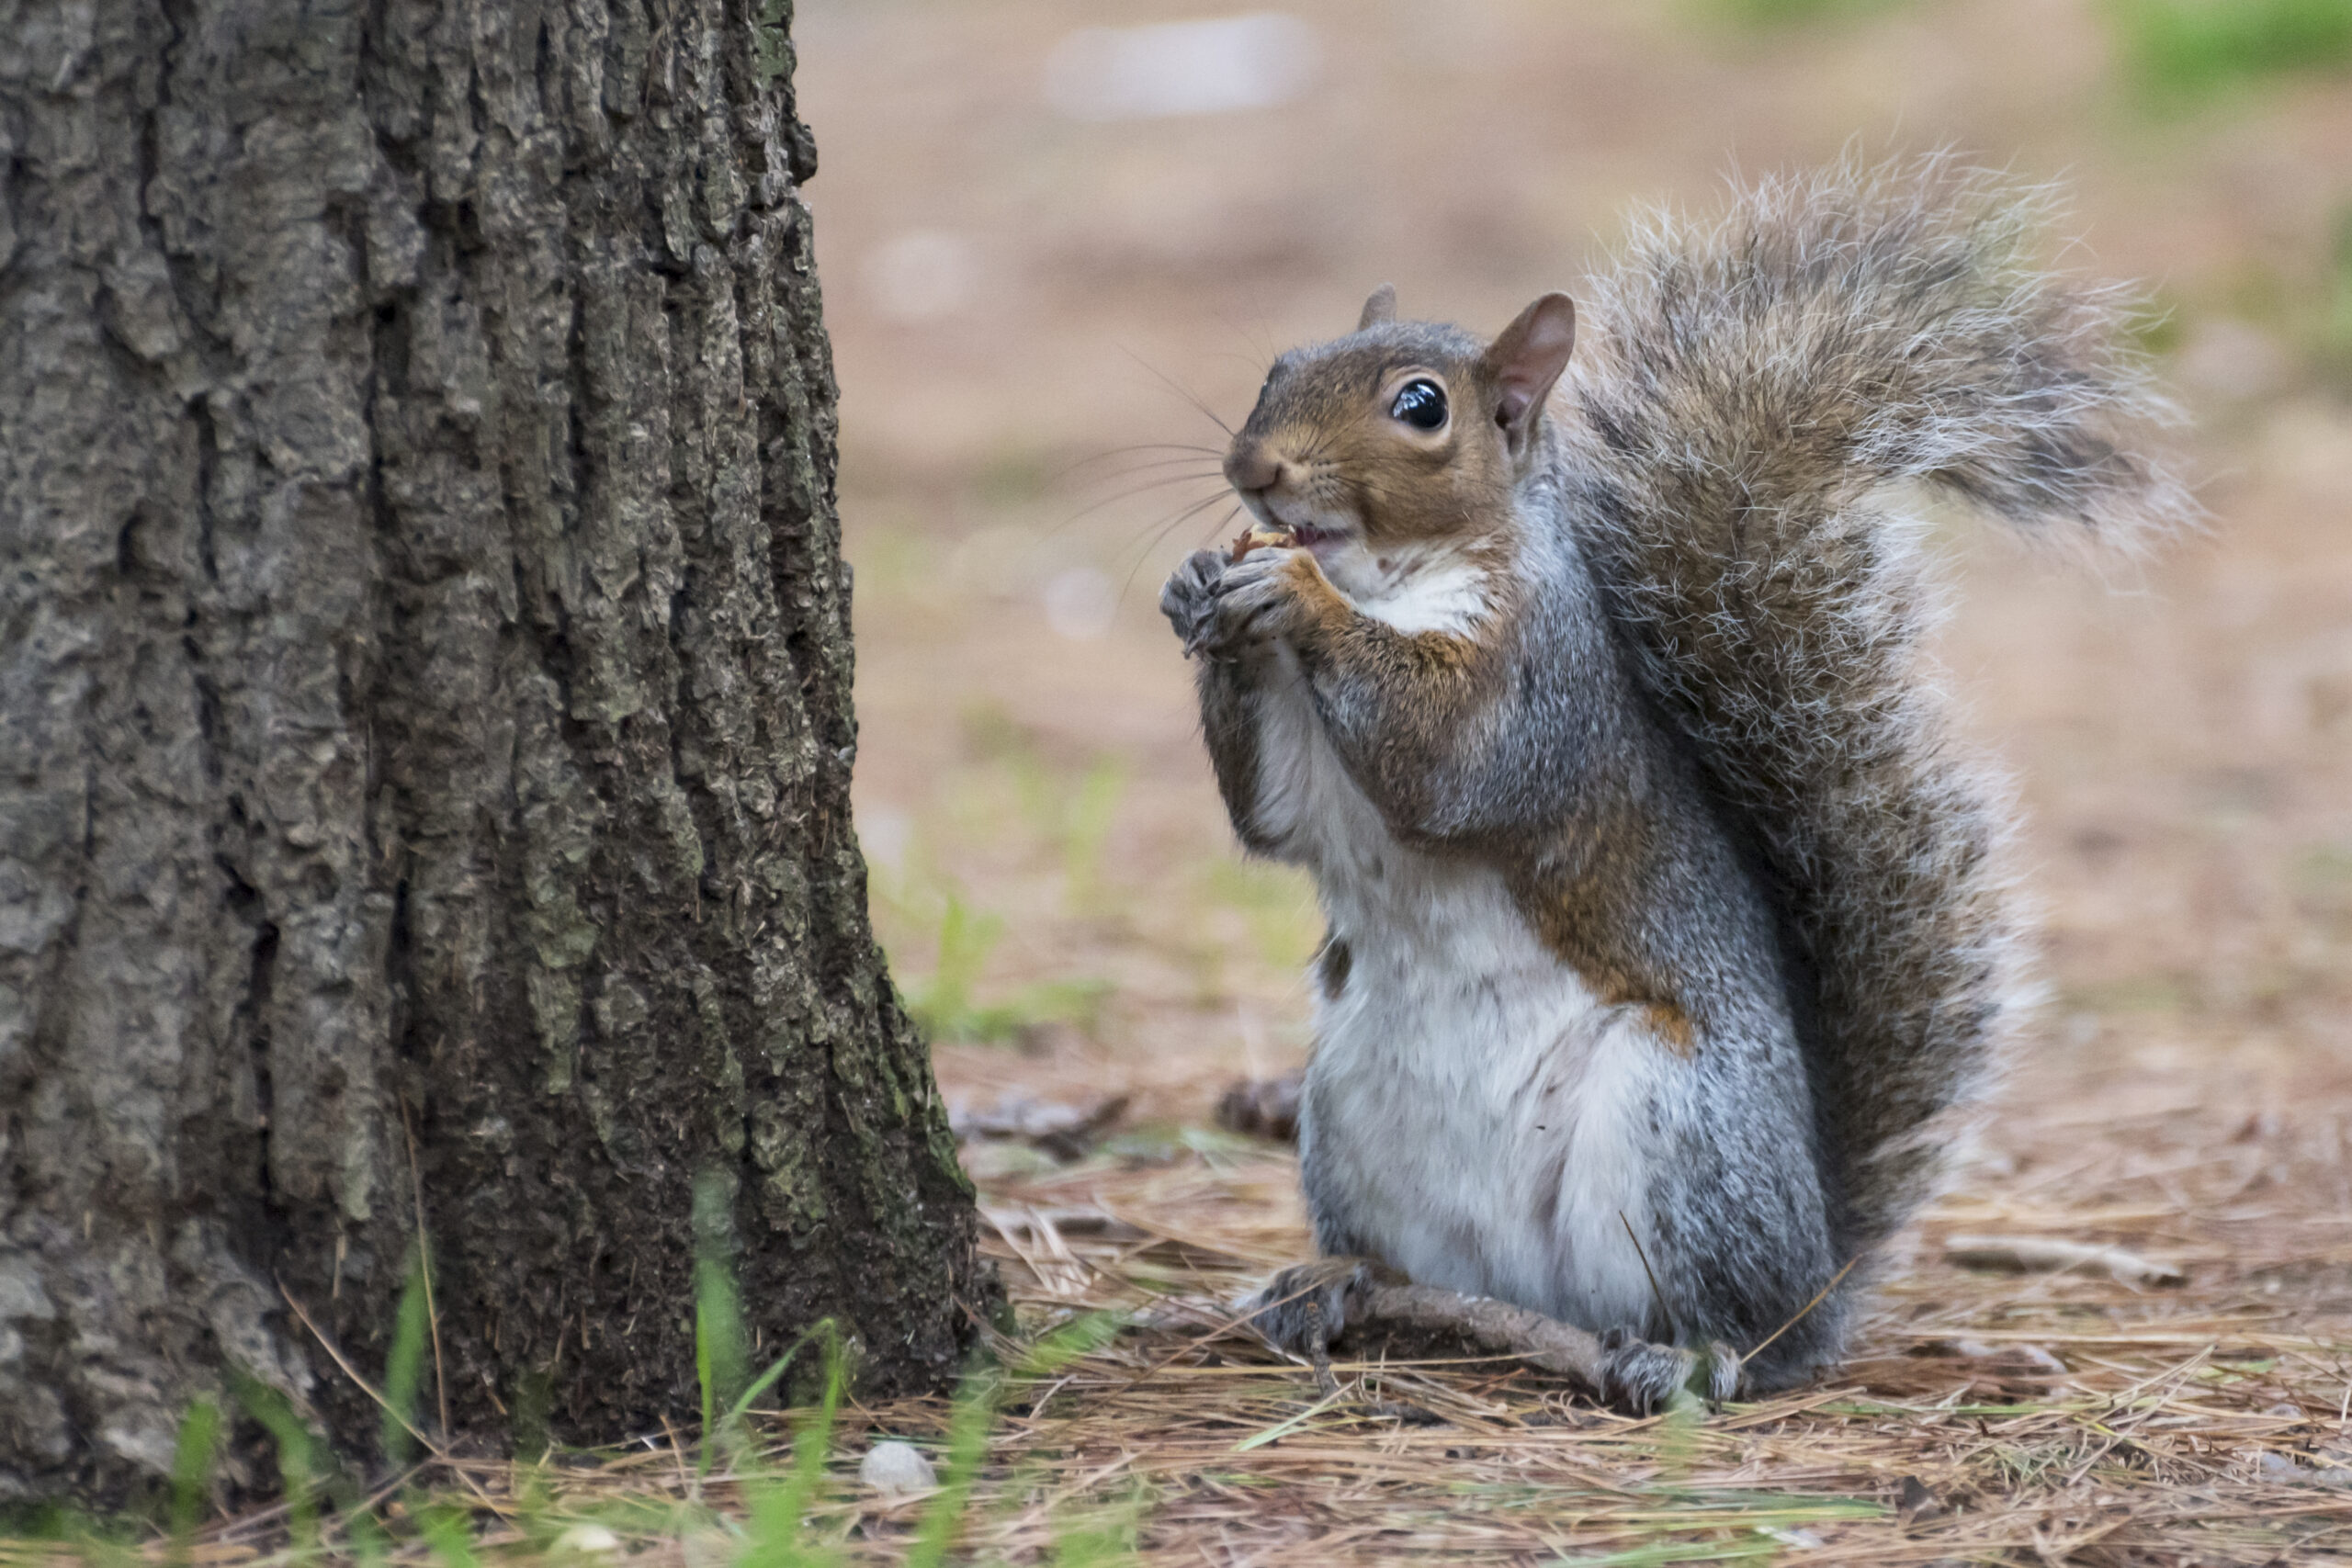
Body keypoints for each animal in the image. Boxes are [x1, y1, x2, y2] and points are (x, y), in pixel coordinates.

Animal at [1158, 158, 2189, 1410]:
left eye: (1420, 407)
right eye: (1277, 366)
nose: (1253, 470)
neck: (1392, 580)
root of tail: (1816, 1276)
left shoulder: (1539, 686)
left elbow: (1444, 759)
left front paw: (1296, 594)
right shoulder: (1305, 774)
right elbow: (1272, 816)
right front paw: (1200, 585)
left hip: (1678, 1127)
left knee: (1728, 1321)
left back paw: (1687, 1353)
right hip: (1344, 1109)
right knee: (1411, 1260)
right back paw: (1337, 1281)